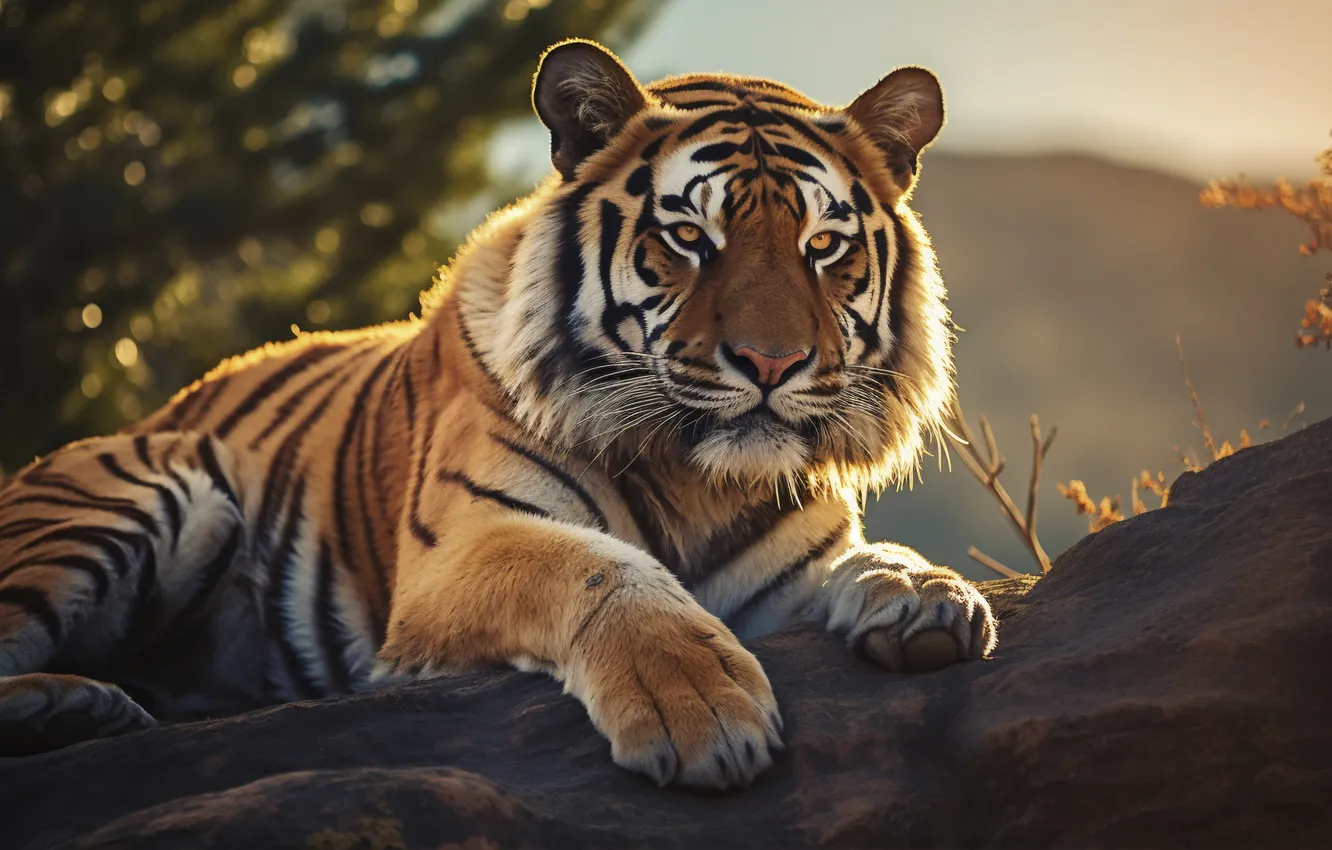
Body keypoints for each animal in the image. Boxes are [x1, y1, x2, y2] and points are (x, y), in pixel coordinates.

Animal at [0, 40, 995, 789]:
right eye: (688, 237)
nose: (772, 364)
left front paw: (925, 595)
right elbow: (599, 571)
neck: (698, 477)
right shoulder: (465, 550)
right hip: (151, 489)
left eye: (822, 246)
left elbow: (870, 557)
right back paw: (74, 705)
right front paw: (701, 708)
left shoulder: (789, 574)